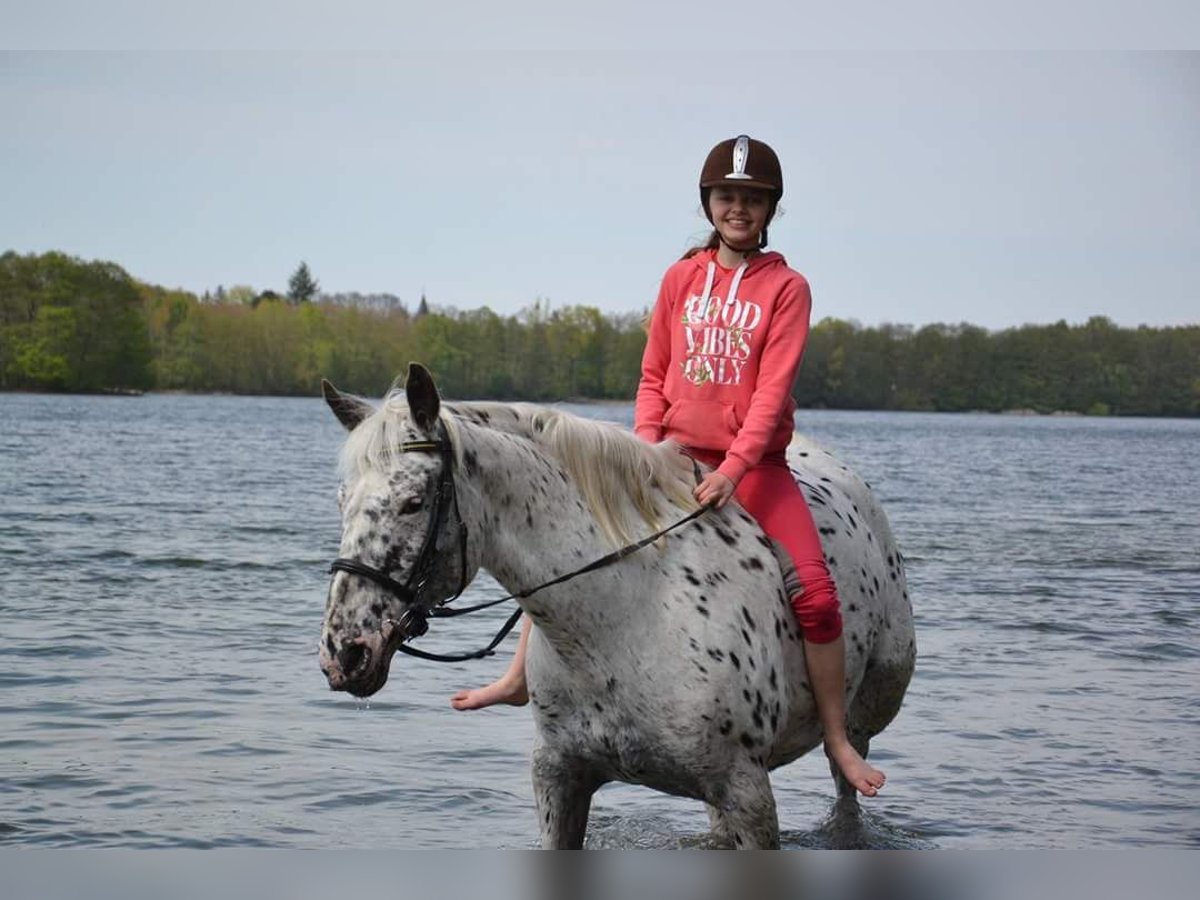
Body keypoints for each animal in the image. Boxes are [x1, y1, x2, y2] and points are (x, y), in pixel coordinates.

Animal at [314, 362, 912, 849]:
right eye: (341, 501)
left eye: (413, 502)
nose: (344, 652)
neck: (626, 620)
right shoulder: (560, 779)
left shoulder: (747, 794)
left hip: (854, 727)